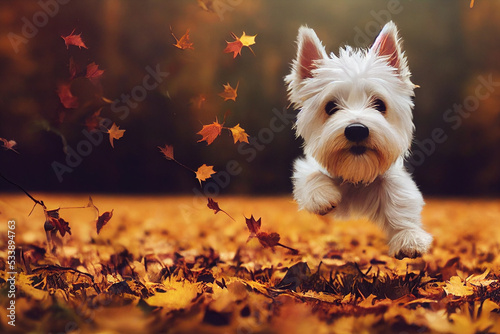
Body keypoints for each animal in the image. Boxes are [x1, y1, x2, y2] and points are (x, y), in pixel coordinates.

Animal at [288, 22, 432, 260]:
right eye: (330, 107)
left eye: (380, 104)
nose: (356, 130)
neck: (356, 173)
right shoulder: (308, 166)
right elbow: (310, 174)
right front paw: (321, 196)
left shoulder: (393, 180)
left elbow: (400, 198)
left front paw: (408, 237)